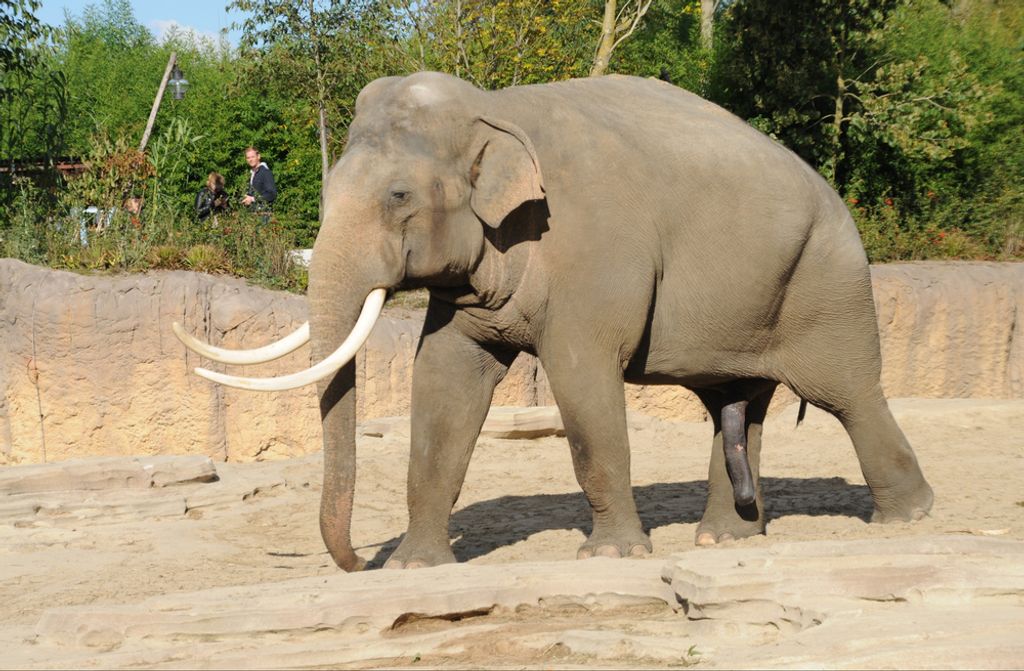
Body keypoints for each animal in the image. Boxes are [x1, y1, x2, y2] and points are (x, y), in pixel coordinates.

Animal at [173, 71, 934, 571]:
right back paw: (725, 539)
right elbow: (444, 380)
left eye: (398, 196)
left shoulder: (591, 254)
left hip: (827, 281)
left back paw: (908, 517)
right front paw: (416, 569)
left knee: (848, 394)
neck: (493, 109)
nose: (360, 559)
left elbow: (582, 383)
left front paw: (611, 555)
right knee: (739, 407)